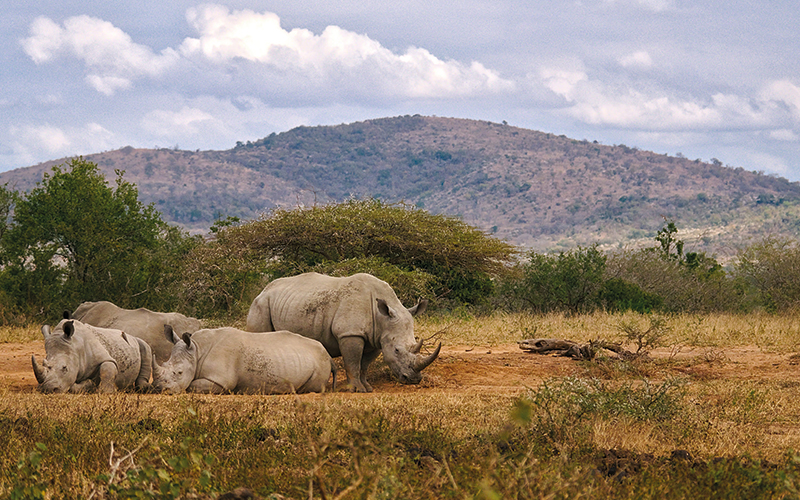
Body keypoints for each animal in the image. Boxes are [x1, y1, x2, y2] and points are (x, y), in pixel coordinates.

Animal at [152, 328, 334, 394]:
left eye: (179, 372)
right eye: (164, 364)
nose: (158, 388)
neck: (197, 350)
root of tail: (328, 354)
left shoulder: (220, 380)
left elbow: (192, 386)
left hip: (321, 361)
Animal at [247, 272, 440, 392]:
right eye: (397, 350)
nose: (413, 379)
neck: (382, 318)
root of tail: (263, 290)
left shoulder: (376, 338)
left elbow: (364, 365)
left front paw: (367, 388)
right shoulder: (349, 333)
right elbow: (352, 362)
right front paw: (356, 390)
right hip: (260, 304)